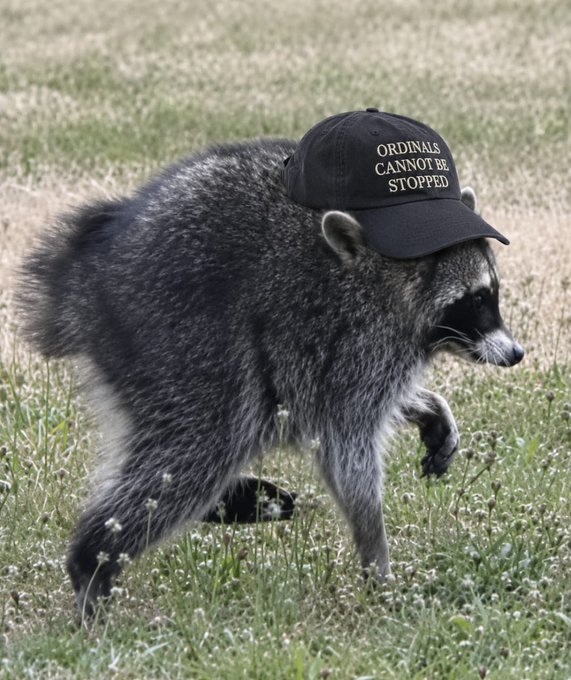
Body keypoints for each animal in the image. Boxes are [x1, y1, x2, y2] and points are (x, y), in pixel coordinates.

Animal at [17, 113, 524, 618]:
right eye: (477, 300)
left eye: (493, 294)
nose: (516, 354)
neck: (386, 277)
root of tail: (86, 275)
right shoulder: (362, 341)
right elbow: (347, 448)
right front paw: (375, 556)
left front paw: (426, 405)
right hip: (177, 339)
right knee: (198, 447)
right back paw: (94, 559)